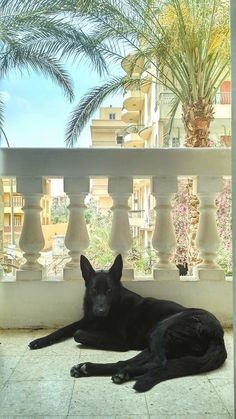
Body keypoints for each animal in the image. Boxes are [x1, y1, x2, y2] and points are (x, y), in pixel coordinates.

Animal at [29, 256, 227, 394]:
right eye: (94, 290)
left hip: (160, 329)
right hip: (156, 342)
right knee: (130, 362)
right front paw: (40, 341)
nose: (100, 311)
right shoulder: (87, 319)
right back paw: (104, 370)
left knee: (158, 361)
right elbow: (63, 329)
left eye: (109, 291)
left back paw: (107, 371)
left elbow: (78, 333)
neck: (113, 305)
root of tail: (217, 335)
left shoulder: (120, 341)